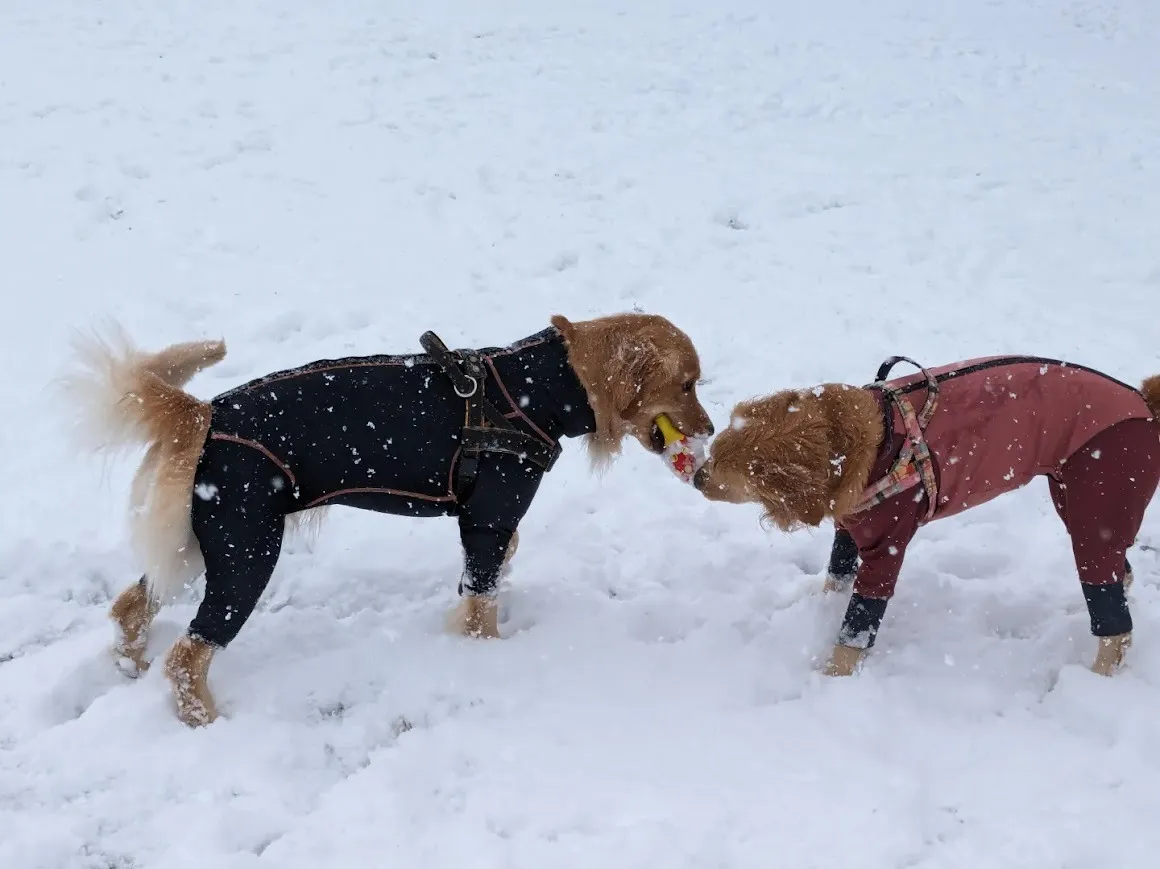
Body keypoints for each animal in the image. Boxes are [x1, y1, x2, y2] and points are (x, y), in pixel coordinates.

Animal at [67, 310, 714, 723]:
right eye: (688, 384)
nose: (709, 430)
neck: (535, 392)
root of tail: (204, 411)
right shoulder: (490, 519)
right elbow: (483, 603)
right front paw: (488, 659)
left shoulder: (488, 531)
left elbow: (479, 587)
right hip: (246, 553)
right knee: (187, 657)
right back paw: (204, 719)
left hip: (195, 546)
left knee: (130, 606)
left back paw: (130, 665)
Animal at [691, 355, 1160, 677]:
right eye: (714, 451)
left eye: (722, 472)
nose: (696, 476)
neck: (877, 441)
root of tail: (1143, 401)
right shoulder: (849, 529)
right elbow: (836, 575)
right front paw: (817, 609)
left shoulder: (886, 548)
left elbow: (856, 629)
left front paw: (831, 680)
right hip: (1081, 505)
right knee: (1121, 571)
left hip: (1099, 504)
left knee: (1115, 624)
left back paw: (1096, 680)